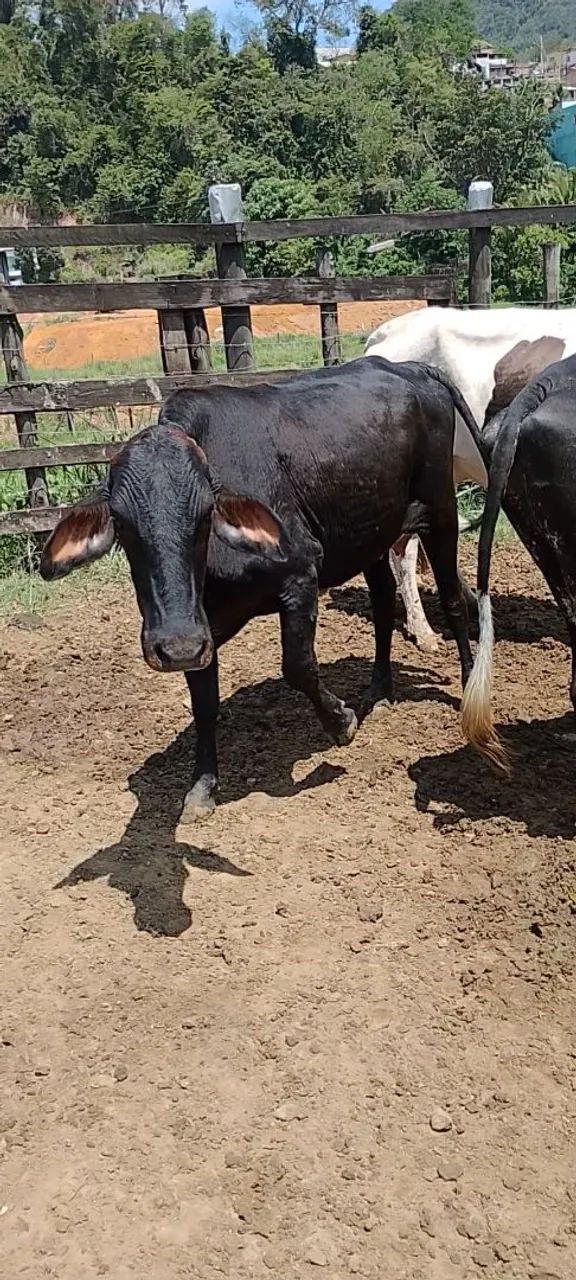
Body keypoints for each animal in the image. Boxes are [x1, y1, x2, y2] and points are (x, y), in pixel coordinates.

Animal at [40, 356, 484, 819]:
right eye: (123, 526)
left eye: (205, 515)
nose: (174, 645)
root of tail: (408, 366)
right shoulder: (200, 627)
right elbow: (204, 701)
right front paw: (203, 785)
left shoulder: (300, 576)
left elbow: (298, 666)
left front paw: (341, 723)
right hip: (374, 534)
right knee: (381, 602)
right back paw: (379, 691)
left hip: (440, 511)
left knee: (452, 599)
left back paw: (467, 681)